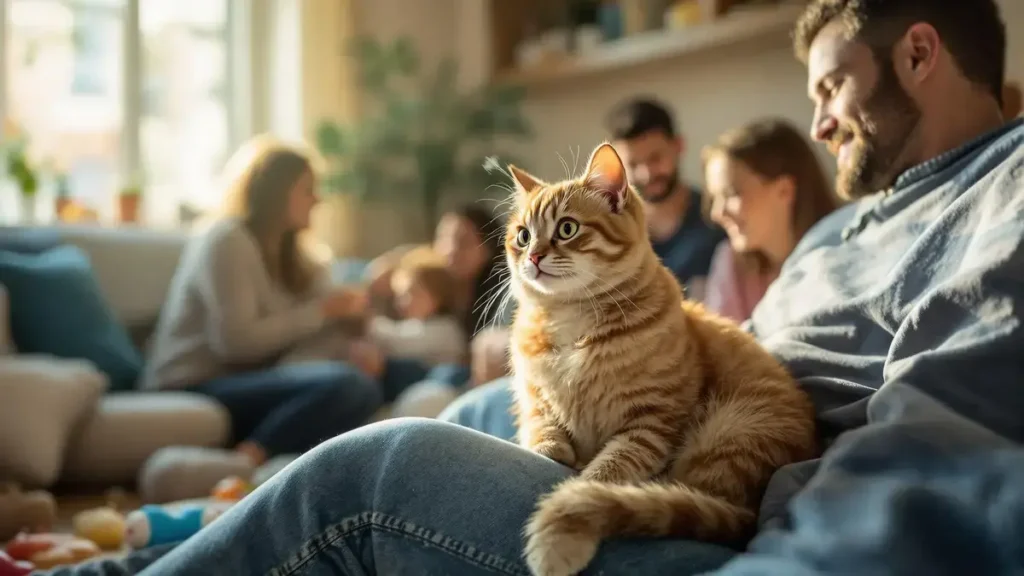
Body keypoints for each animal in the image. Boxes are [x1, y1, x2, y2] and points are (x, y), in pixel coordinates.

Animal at [503, 141, 815, 569]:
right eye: (522, 236)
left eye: (567, 228)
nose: (532, 256)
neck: (571, 319)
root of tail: (751, 515)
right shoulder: (534, 399)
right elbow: (541, 428)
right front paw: (553, 449)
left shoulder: (651, 422)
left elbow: (605, 475)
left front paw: (580, 486)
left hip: (732, 430)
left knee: (675, 497)